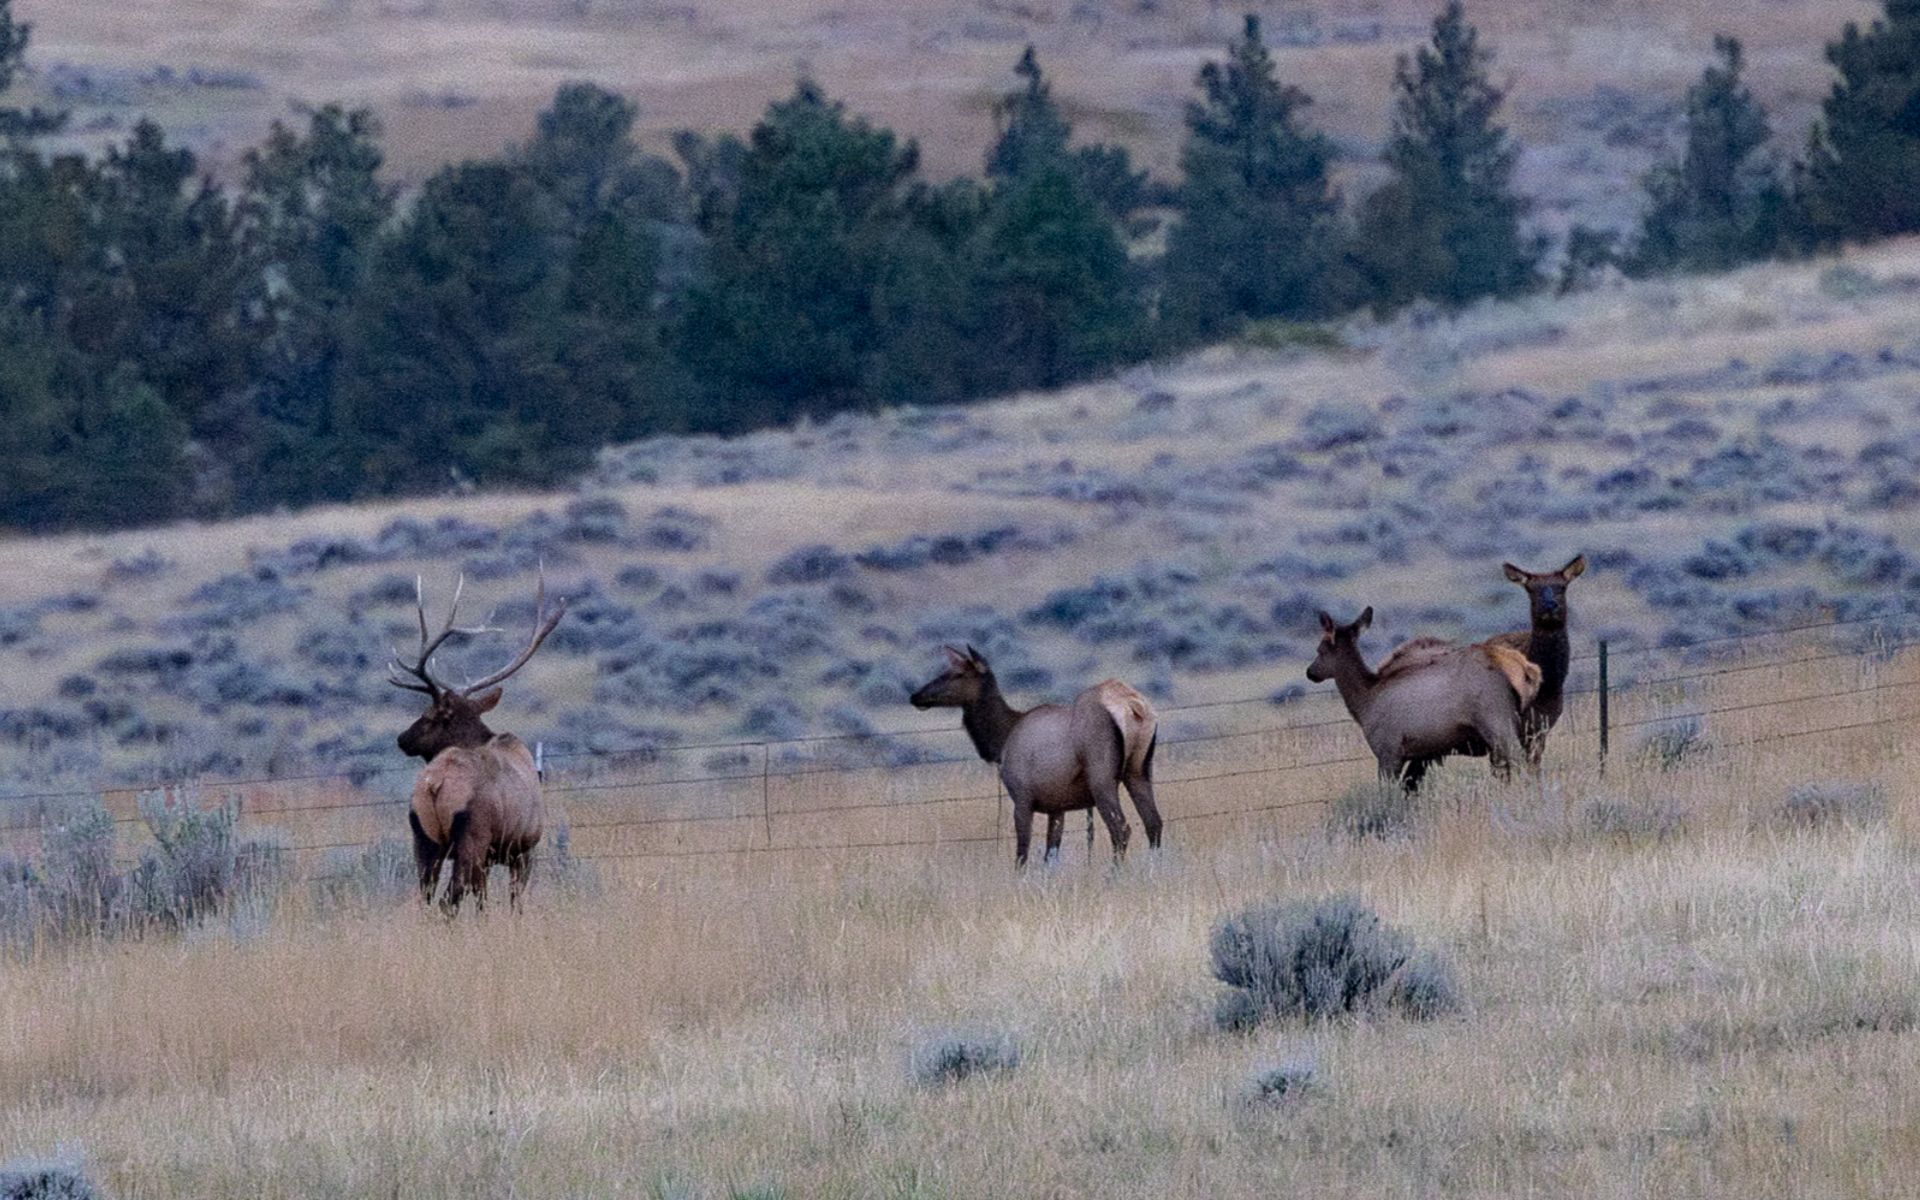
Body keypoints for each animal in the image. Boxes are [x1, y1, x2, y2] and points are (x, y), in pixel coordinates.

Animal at [387, 570, 568, 914]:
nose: (402, 739)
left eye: (428, 716)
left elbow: (483, 901)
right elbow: (514, 902)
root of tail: (435, 785)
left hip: (424, 840)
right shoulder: (523, 848)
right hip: (472, 839)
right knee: (449, 899)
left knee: (427, 897)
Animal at [910, 645, 1162, 867]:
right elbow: (1051, 852)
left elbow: (1022, 852)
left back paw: (1114, 875)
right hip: (1139, 771)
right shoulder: (1057, 806)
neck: (1001, 740)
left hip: (1102, 777)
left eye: (958, 674)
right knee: (1154, 823)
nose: (916, 695)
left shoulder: (1022, 797)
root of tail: (1134, 706)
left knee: (1121, 829)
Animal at [1307, 608, 1541, 792]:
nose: (1310, 672)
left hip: (1497, 721)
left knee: (1521, 761)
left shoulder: (1388, 750)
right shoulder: (1422, 755)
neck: (1364, 701)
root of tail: (1527, 670)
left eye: (1320, 650)